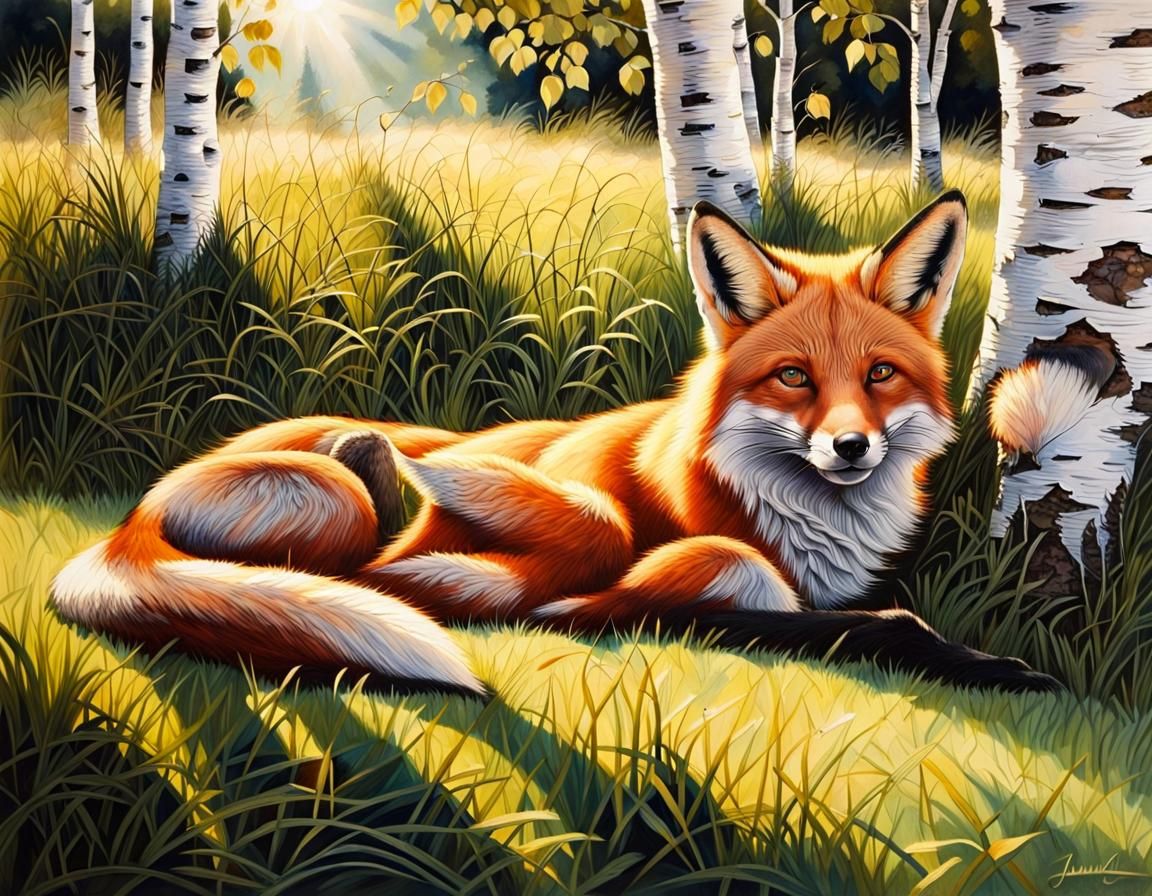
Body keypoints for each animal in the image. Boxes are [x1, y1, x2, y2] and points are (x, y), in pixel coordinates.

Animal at [50, 190, 1060, 696]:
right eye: (795, 379)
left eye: (880, 375)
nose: (850, 448)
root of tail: (137, 511)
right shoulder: (635, 582)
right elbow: (804, 603)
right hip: (336, 501)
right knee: (365, 550)